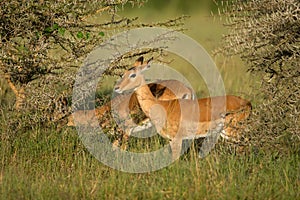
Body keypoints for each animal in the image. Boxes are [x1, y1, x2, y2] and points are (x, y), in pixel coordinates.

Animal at [113, 56, 252, 159]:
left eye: (132, 75)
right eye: (123, 73)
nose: (117, 88)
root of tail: (247, 103)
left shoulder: (176, 139)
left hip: (233, 132)